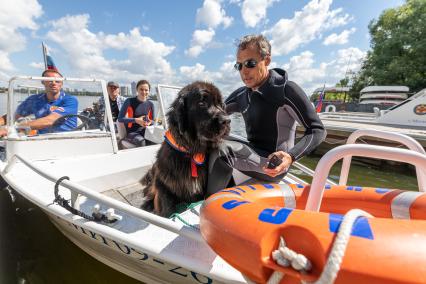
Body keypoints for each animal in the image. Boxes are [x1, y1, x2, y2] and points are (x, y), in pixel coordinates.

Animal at [141, 81, 230, 216]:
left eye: (220, 104)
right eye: (202, 103)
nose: (227, 120)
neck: (191, 151)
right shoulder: (163, 185)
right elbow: (167, 207)